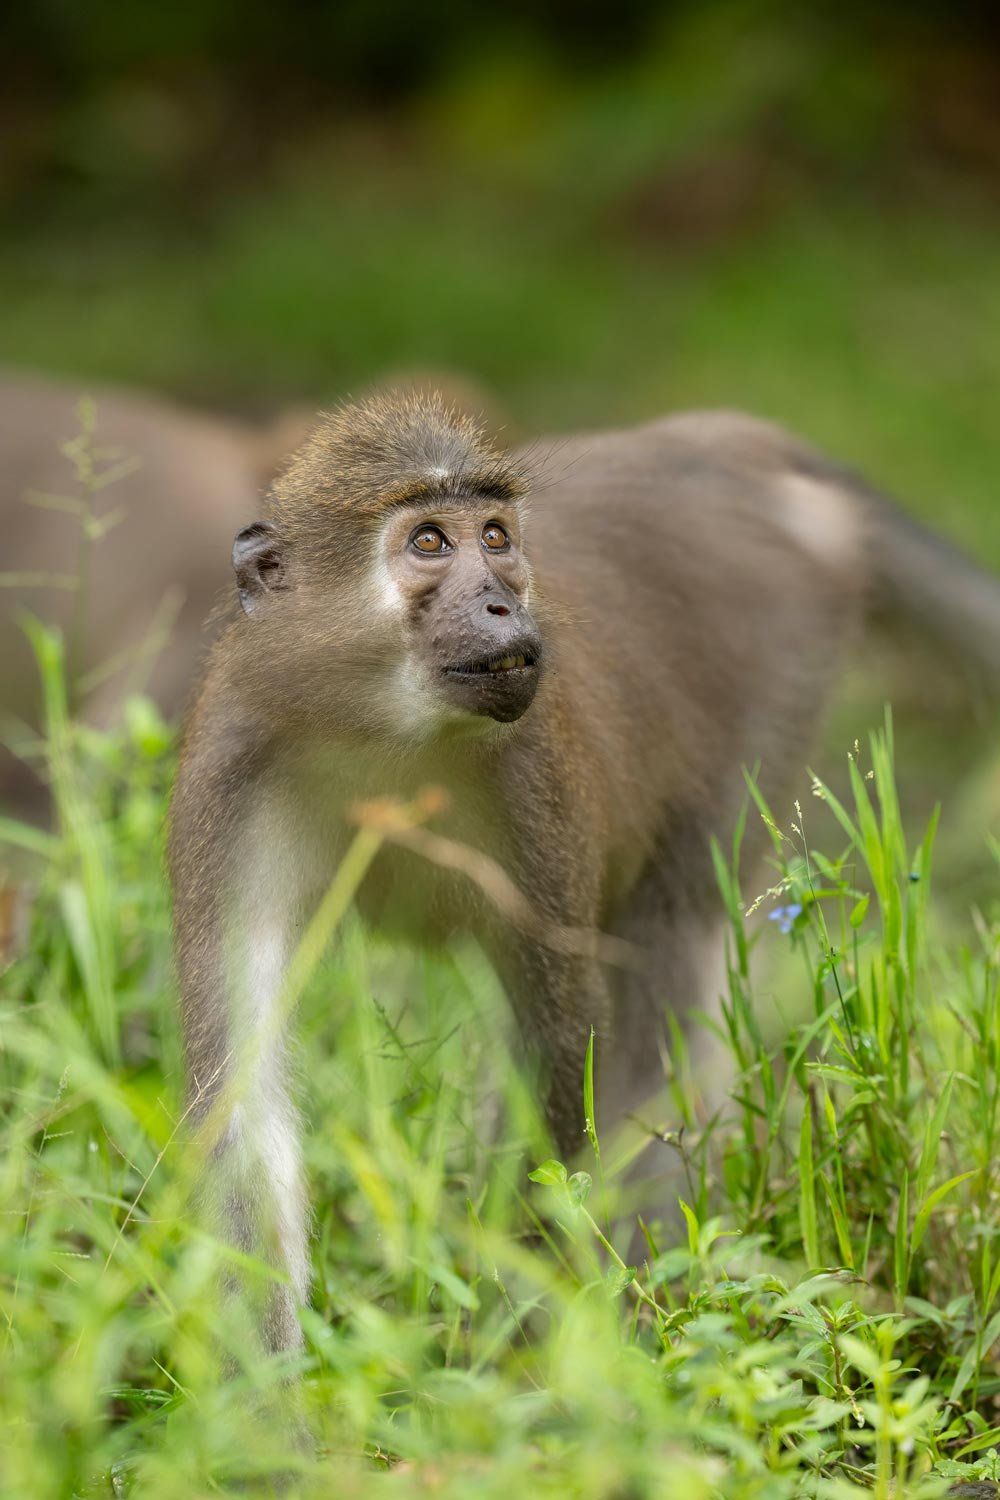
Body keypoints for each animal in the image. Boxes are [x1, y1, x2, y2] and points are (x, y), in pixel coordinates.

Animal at [168, 390, 1000, 1355]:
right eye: (429, 543)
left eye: (495, 536)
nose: (501, 604)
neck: (380, 731)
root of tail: (734, 446)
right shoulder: (234, 767)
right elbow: (241, 1097)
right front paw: (270, 1390)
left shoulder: (537, 778)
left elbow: (561, 1054)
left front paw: (508, 1344)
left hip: (779, 667)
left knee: (669, 939)